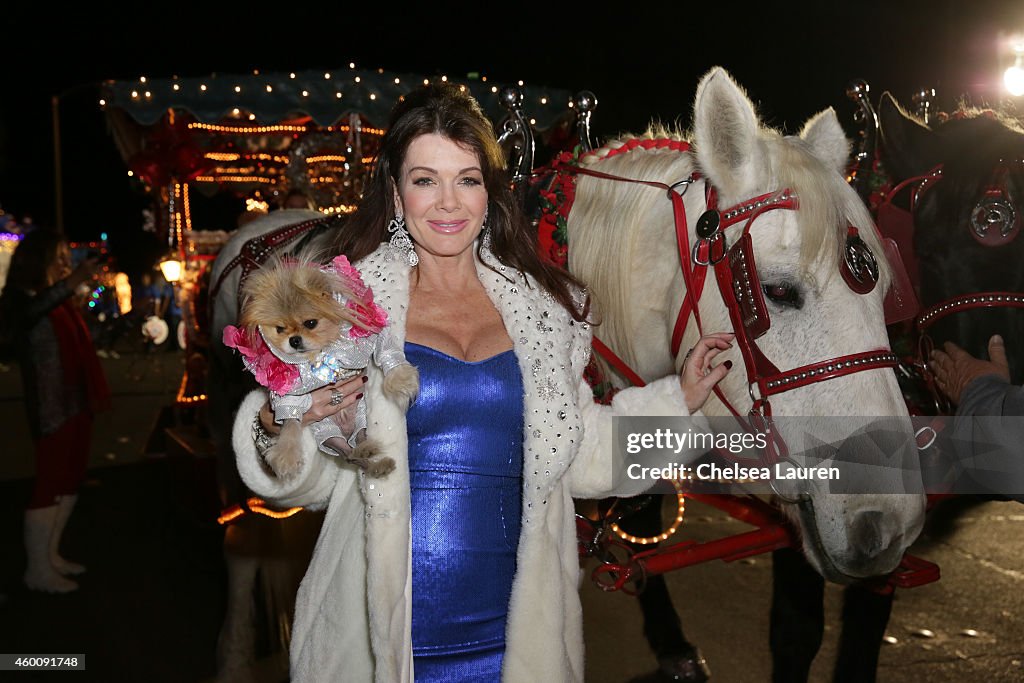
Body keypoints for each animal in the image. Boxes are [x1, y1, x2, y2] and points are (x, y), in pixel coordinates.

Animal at [228, 248, 419, 479]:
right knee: (349, 455)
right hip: (327, 434)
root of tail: (345, 433)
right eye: (279, 329)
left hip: (360, 421)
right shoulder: (289, 396)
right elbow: (290, 423)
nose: (294, 340)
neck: (320, 354)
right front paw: (287, 457)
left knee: (358, 443)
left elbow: (387, 353)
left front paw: (402, 382)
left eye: (311, 323)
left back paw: (370, 453)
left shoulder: (373, 337)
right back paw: (371, 460)